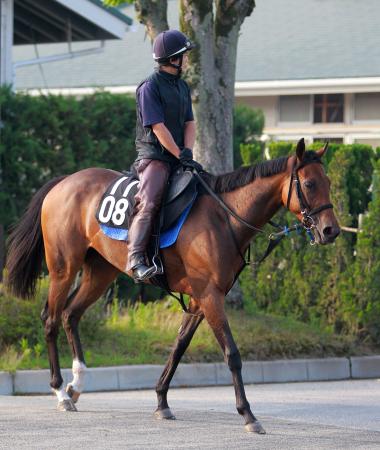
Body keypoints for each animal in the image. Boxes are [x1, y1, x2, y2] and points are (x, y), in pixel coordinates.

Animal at [5, 137, 338, 432]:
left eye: (329, 182)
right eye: (309, 184)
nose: (330, 230)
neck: (222, 217)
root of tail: (63, 183)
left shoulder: (199, 300)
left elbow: (178, 347)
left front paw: (161, 401)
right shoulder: (211, 296)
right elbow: (232, 354)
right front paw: (248, 414)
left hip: (100, 272)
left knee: (70, 314)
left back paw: (77, 384)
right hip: (63, 268)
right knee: (50, 319)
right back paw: (61, 391)